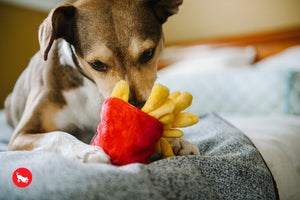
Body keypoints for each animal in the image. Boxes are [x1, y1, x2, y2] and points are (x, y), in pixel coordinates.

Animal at [4, 0, 199, 163]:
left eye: (148, 53)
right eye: (97, 64)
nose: (137, 112)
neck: (89, 87)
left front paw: (176, 141)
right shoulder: (21, 135)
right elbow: (58, 135)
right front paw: (86, 151)